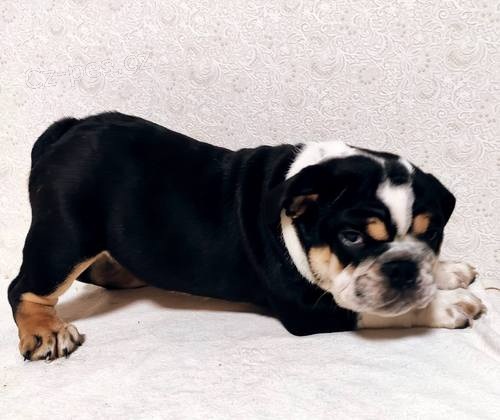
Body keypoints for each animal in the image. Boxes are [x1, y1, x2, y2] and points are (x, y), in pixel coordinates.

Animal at [8, 112, 485, 361]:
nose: (403, 268)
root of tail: (69, 127)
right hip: (67, 236)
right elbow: (382, 311)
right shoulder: (309, 309)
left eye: (432, 235)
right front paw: (448, 305)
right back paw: (46, 331)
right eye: (351, 237)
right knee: (25, 288)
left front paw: (448, 271)